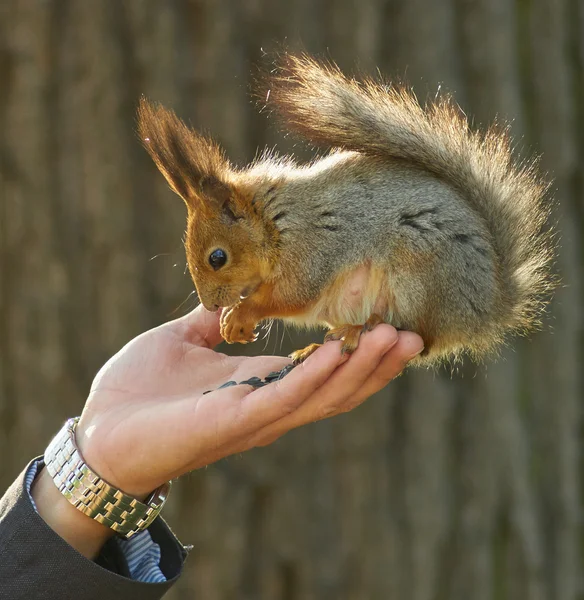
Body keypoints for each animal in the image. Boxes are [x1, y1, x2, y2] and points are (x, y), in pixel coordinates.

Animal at [137, 54, 556, 368]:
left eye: (217, 257)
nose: (210, 305)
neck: (275, 222)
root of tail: (488, 306)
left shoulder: (313, 249)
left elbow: (290, 295)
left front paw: (240, 316)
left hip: (421, 273)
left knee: (416, 335)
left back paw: (362, 329)